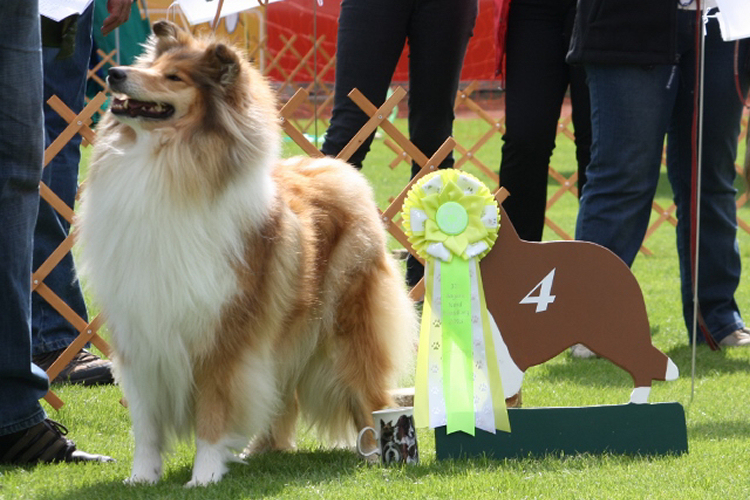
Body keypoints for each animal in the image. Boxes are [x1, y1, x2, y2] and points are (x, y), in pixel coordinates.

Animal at [79, 21, 420, 486]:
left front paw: (204, 477)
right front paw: (142, 479)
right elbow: (147, 423)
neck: (165, 165)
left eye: (174, 78)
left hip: (346, 332)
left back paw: (374, 453)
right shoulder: (142, 334)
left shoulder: (224, 334)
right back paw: (262, 449)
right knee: (283, 393)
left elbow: (213, 411)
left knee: (368, 393)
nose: (113, 73)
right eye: (149, 65)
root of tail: (337, 169)